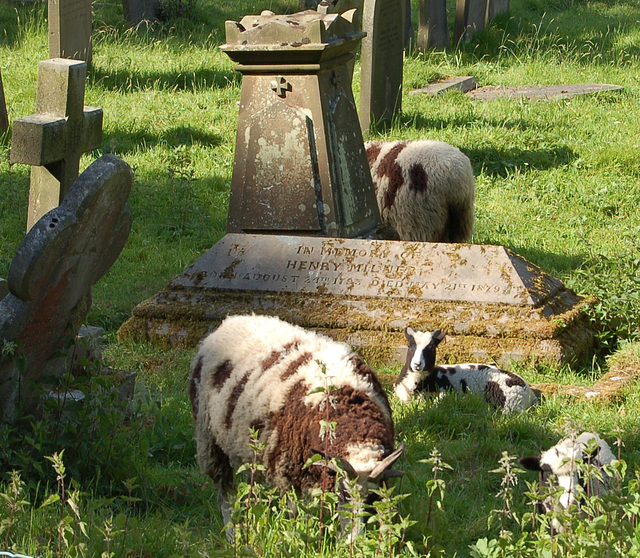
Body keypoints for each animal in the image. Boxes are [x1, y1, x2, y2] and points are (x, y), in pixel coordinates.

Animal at [189, 316, 404, 540]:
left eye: (371, 498)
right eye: (343, 495)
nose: (353, 541)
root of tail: (230, 320)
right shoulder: (287, 469)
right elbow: (295, 513)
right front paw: (295, 538)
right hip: (209, 438)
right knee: (224, 491)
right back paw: (232, 533)